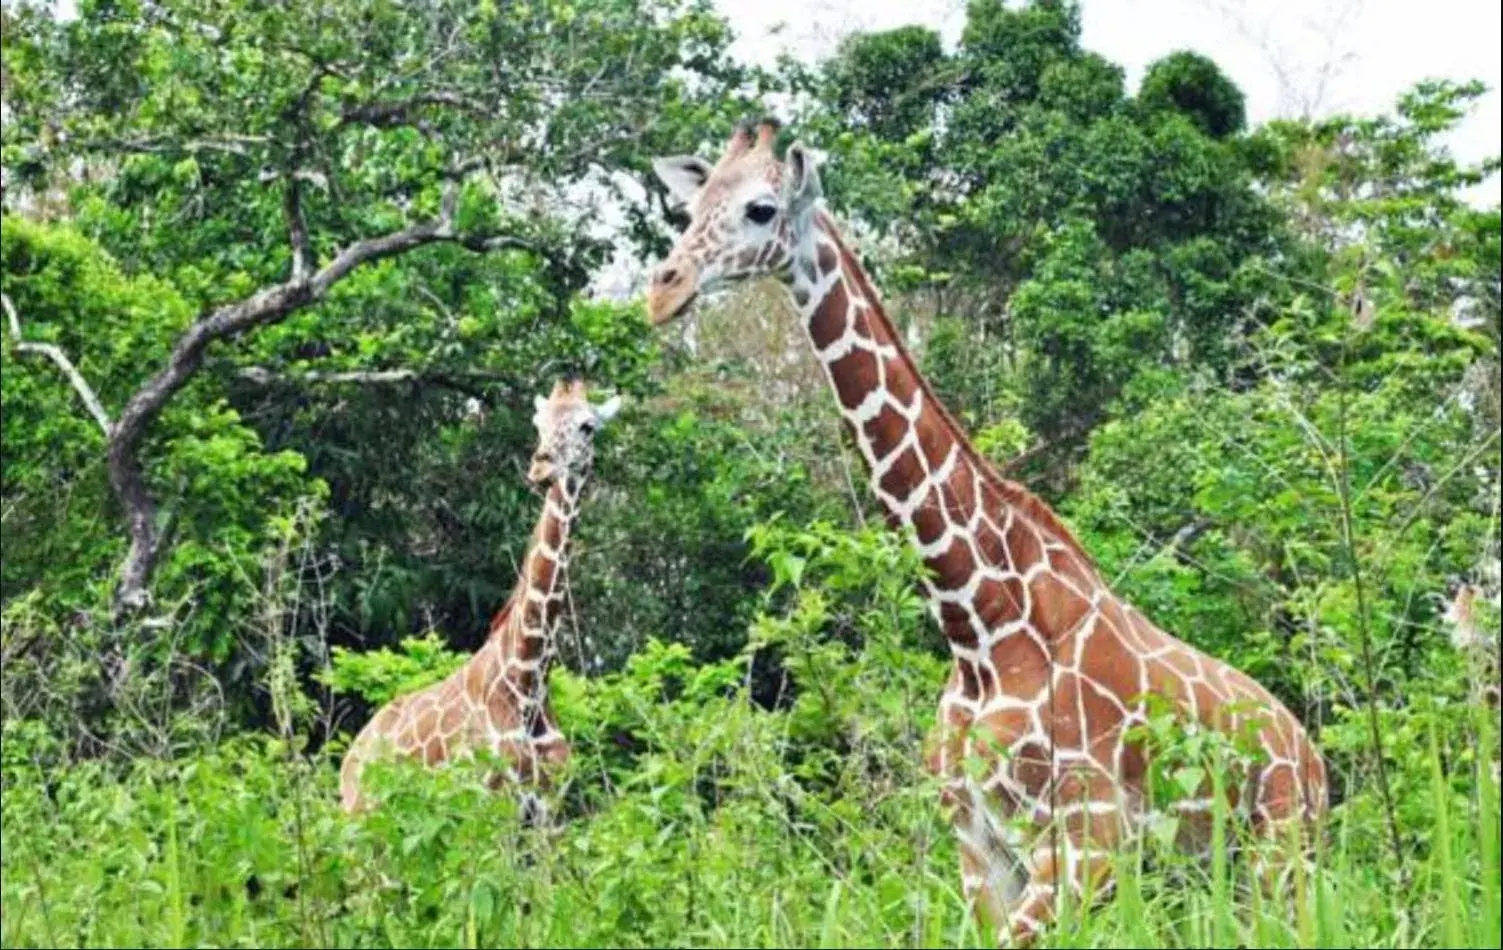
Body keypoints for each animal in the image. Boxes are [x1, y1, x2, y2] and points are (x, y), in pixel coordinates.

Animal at [341, 378, 622, 817]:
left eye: (587, 426)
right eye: (538, 423)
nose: (540, 467)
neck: (528, 681)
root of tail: (349, 759)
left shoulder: (548, 809)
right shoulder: (492, 804)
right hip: (361, 819)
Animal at [646, 122, 1328, 943]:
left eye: (760, 208)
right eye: (692, 206)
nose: (662, 289)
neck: (977, 625)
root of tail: (1314, 759)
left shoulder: (1086, 843)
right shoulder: (978, 844)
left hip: (1282, 856)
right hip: (1211, 873)